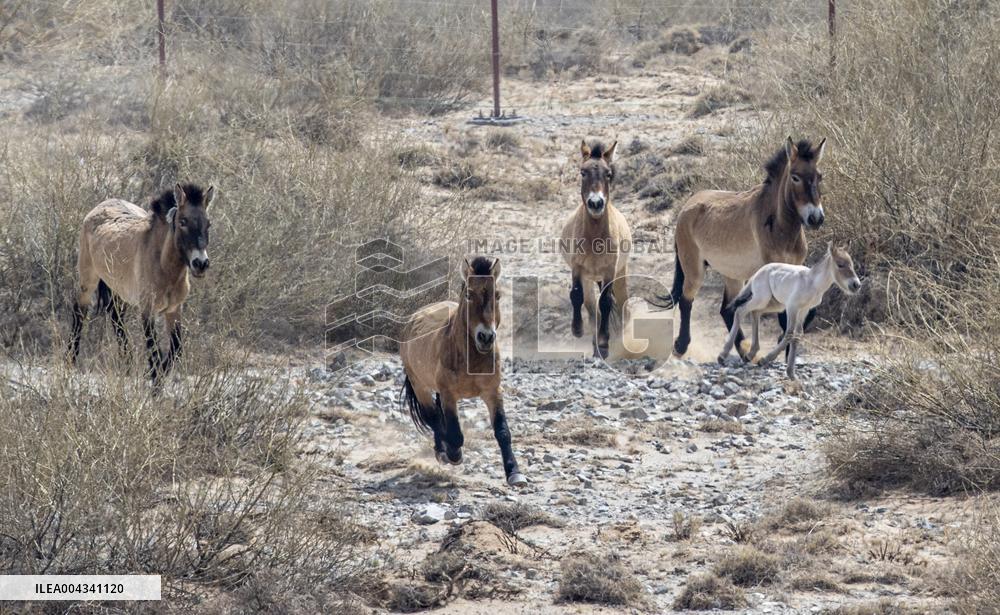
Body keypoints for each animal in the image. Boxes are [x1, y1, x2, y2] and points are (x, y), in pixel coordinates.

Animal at [69, 183, 215, 384]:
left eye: (208, 224)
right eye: (183, 222)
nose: (200, 263)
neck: (163, 266)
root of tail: (99, 208)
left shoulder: (174, 309)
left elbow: (176, 349)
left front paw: (156, 376)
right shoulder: (148, 310)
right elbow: (154, 351)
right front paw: (154, 381)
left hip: (119, 290)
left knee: (117, 318)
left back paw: (127, 364)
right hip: (87, 280)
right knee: (79, 312)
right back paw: (71, 361)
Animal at [398, 256, 527, 487]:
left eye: (497, 295)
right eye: (468, 295)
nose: (486, 337)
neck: (471, 360)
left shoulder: (493, 392)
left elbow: (503, 431)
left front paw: (514, 473)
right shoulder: (449, 395)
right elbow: (454, 433)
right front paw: (454, 454)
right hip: (420, 386)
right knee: (433, 417)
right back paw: (442, 452)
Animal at [561, 139, 632, 359]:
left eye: (608, 173)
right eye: (583, 172)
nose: (595, 203)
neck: (594, 238)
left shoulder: (609, 271)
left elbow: (607, 303)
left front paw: (605, 342)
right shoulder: (577, 269)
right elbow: (577, 296)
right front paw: (577, 330)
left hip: (620, 274)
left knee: (623, 307)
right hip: (590, 279)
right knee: (592, 309)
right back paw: (594, 344)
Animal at [658, 137, 827, 359]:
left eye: (819, 176)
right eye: (795, 177)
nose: (816, 218)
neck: (780, 226)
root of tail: (687, 206)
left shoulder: (795, 267)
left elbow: (806, 311)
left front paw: (783, 346)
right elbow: (785, 313)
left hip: (733, 275)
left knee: (727, 309)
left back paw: (742, 348)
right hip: (694, 270)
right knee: (687, 301)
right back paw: (681, 346)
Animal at [718, 244, 861, 379]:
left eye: (852, 264)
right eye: (840, 264)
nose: (856, 285)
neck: (812, 283)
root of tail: (758, 272)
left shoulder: (804, 310)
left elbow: (797, 335)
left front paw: (791, 373)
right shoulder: (792, 307)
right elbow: (789, 333)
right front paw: (766, 360)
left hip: (774, 304)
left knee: (755, 313)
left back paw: (750, 354)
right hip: (762, 299)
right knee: (740, 311)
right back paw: (723, 355)